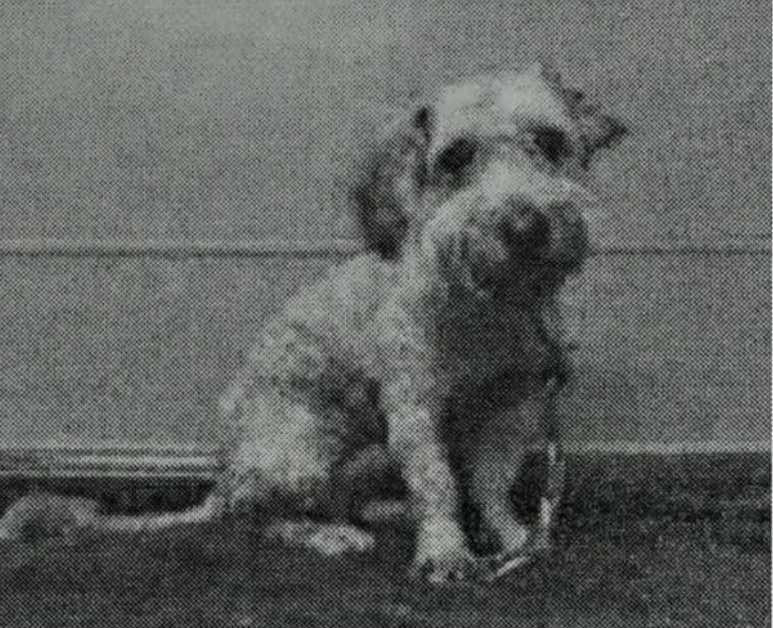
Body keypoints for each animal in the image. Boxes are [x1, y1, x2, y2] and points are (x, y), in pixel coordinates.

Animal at [0, 62, 624, 584]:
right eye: (455, 157)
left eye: (550, 141)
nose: (524, 226)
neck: (489, 301)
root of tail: (225, 477)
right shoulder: (413, 407)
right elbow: (439, 484)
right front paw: (446, 553)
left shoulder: (514, 404)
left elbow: (491, 483)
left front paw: (516, 538)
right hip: (302, 448)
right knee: (257, 519)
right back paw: (328, 534)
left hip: (368, 452)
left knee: (341, 499)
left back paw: (383, 511)